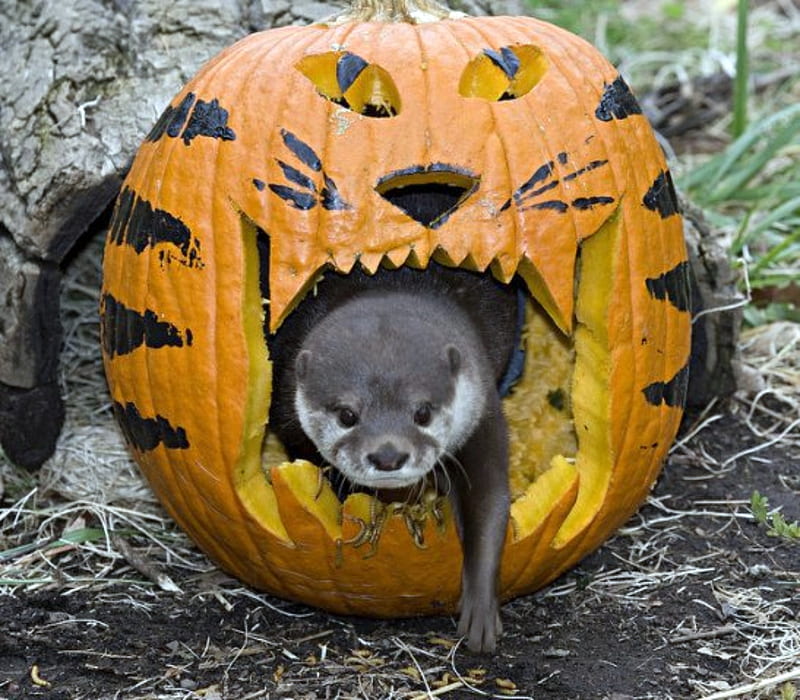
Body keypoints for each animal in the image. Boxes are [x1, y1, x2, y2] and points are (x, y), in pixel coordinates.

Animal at [268, 262, 520, 652]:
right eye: (347, 415)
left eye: (423, 412)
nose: (388, 455)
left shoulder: (483, 414)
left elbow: (489, 501)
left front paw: (480, 613)